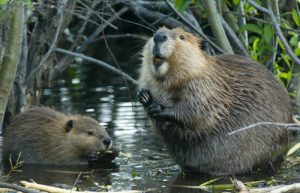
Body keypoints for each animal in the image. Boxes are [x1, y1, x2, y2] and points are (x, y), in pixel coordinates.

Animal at [138, 26, 292, 175]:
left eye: (182, 37)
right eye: (156, 32)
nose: (159, 36)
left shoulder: (205, 86)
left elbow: (198, 111)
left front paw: (159, 108)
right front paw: (144, 96)